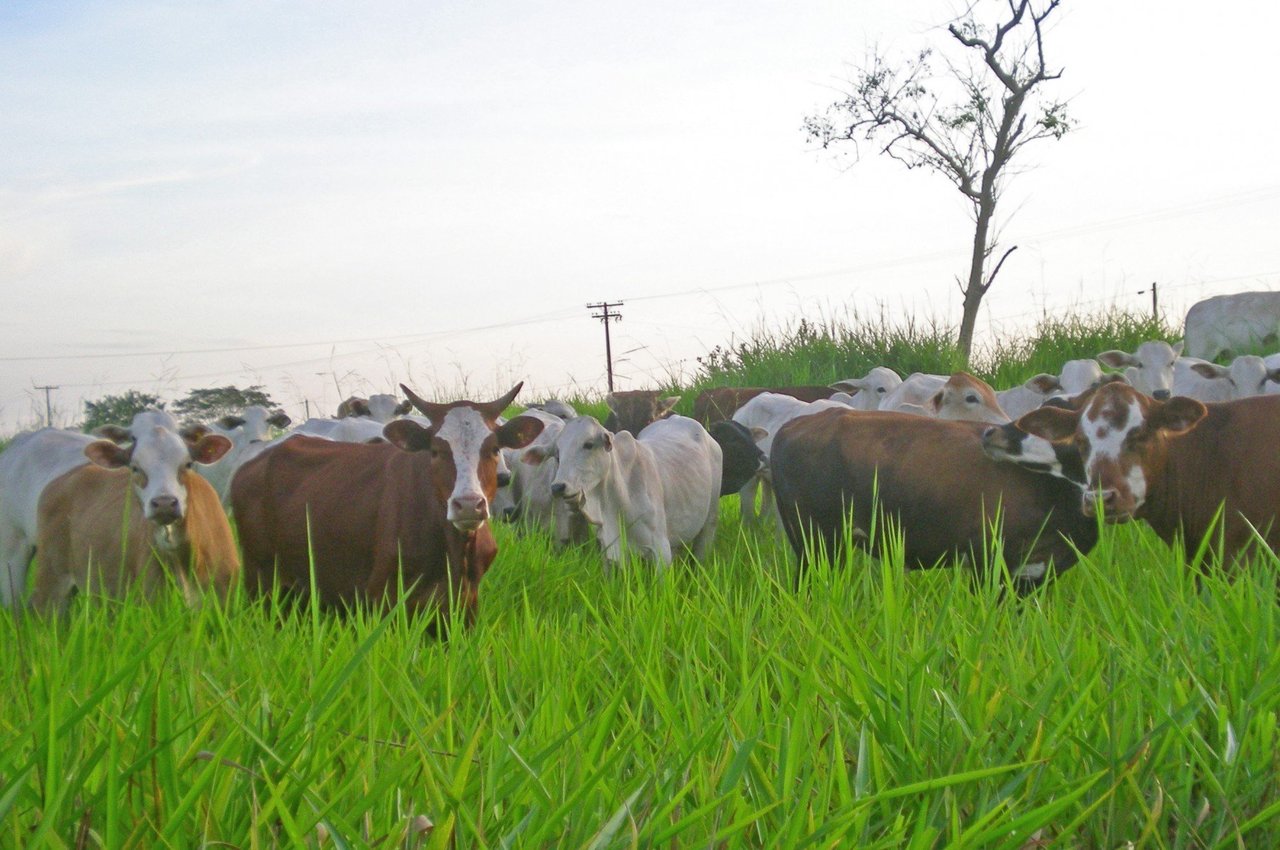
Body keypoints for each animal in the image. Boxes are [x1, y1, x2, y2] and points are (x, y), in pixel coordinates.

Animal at [232, 384, 542, 624]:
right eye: (435, 451)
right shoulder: (382, 601)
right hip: (261, 584)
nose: (468, 505)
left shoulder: (465, 607)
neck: (454, 550)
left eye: (494, 449)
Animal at [547, 414, 721, 568]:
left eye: (588, 444)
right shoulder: (607, 548)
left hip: (710, 521)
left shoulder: (661, 550)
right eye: (558, 453)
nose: (557, 487)